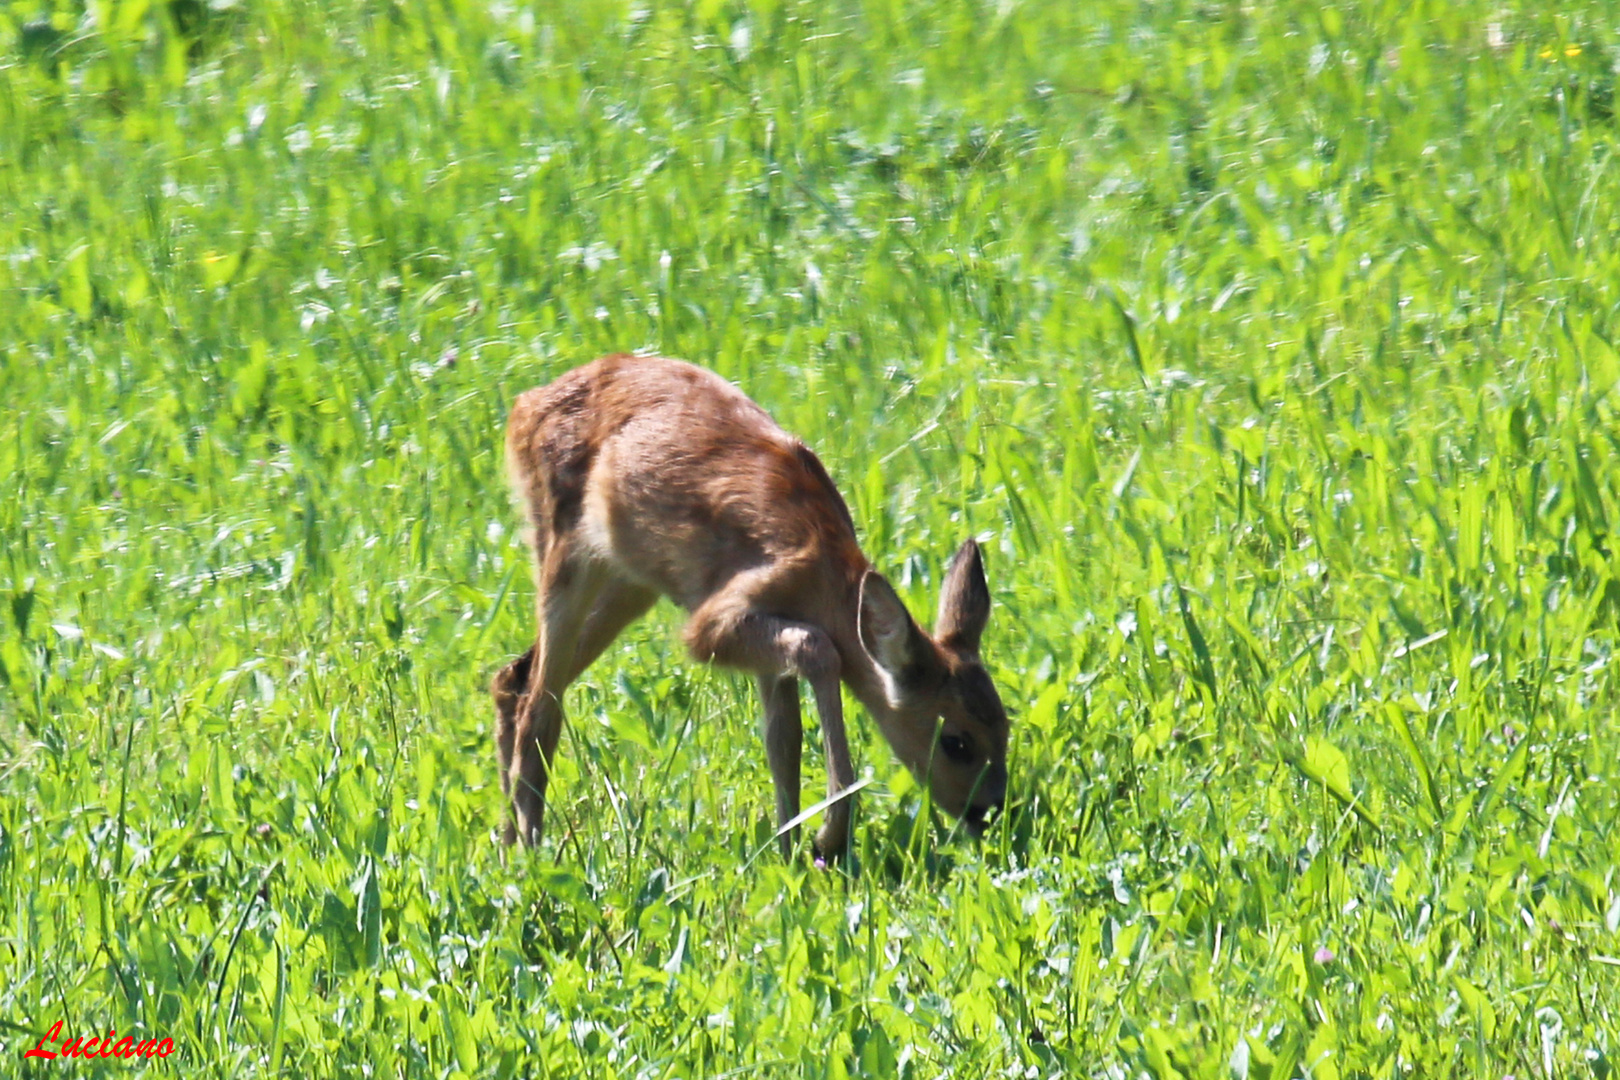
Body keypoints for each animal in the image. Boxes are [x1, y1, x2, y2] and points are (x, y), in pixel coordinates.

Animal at [486, 359, 1004, 854]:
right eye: (956, 742)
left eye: (1005, 725)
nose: (993, 815)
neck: (822, 577)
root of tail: (523, 406)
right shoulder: (716, 622)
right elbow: (819, 650)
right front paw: (829, 837)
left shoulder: (763, 657)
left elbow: (783, 742)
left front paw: (791, 850)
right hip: (564, 550)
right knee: (540, 705)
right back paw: (531, 851)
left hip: (628, 582)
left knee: (514, 676)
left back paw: (508, 844)